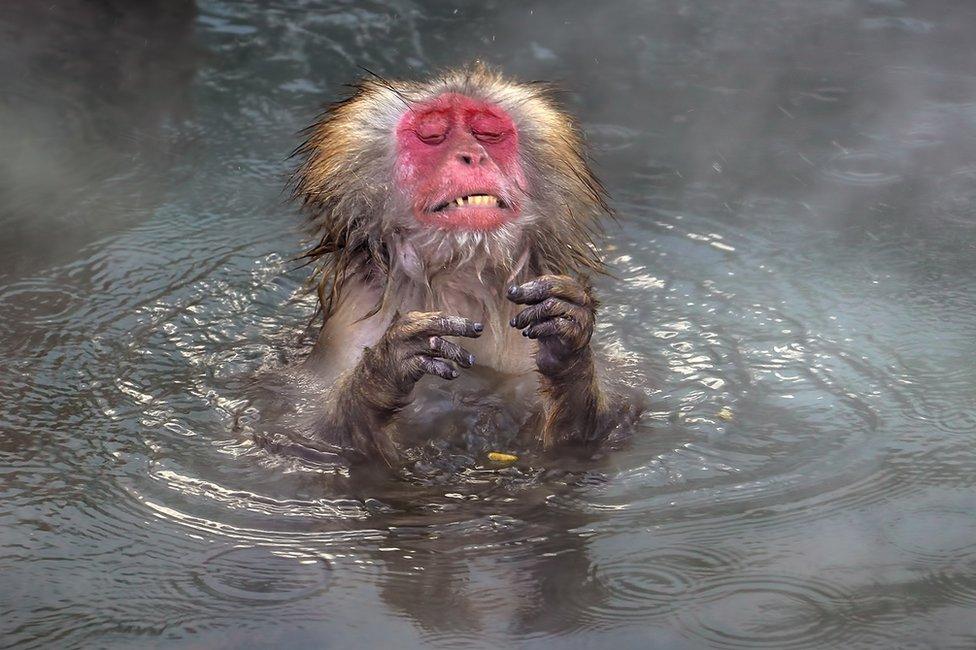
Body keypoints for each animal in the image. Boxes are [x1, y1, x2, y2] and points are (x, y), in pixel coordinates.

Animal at [286, 64, 632, 466]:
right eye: (432, 134)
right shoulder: (349, 325)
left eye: (488, 132)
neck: (460, 282)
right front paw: (388, 366)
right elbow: (308, 439)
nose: (472, 156)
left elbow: (584, 438)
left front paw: (568, 337)